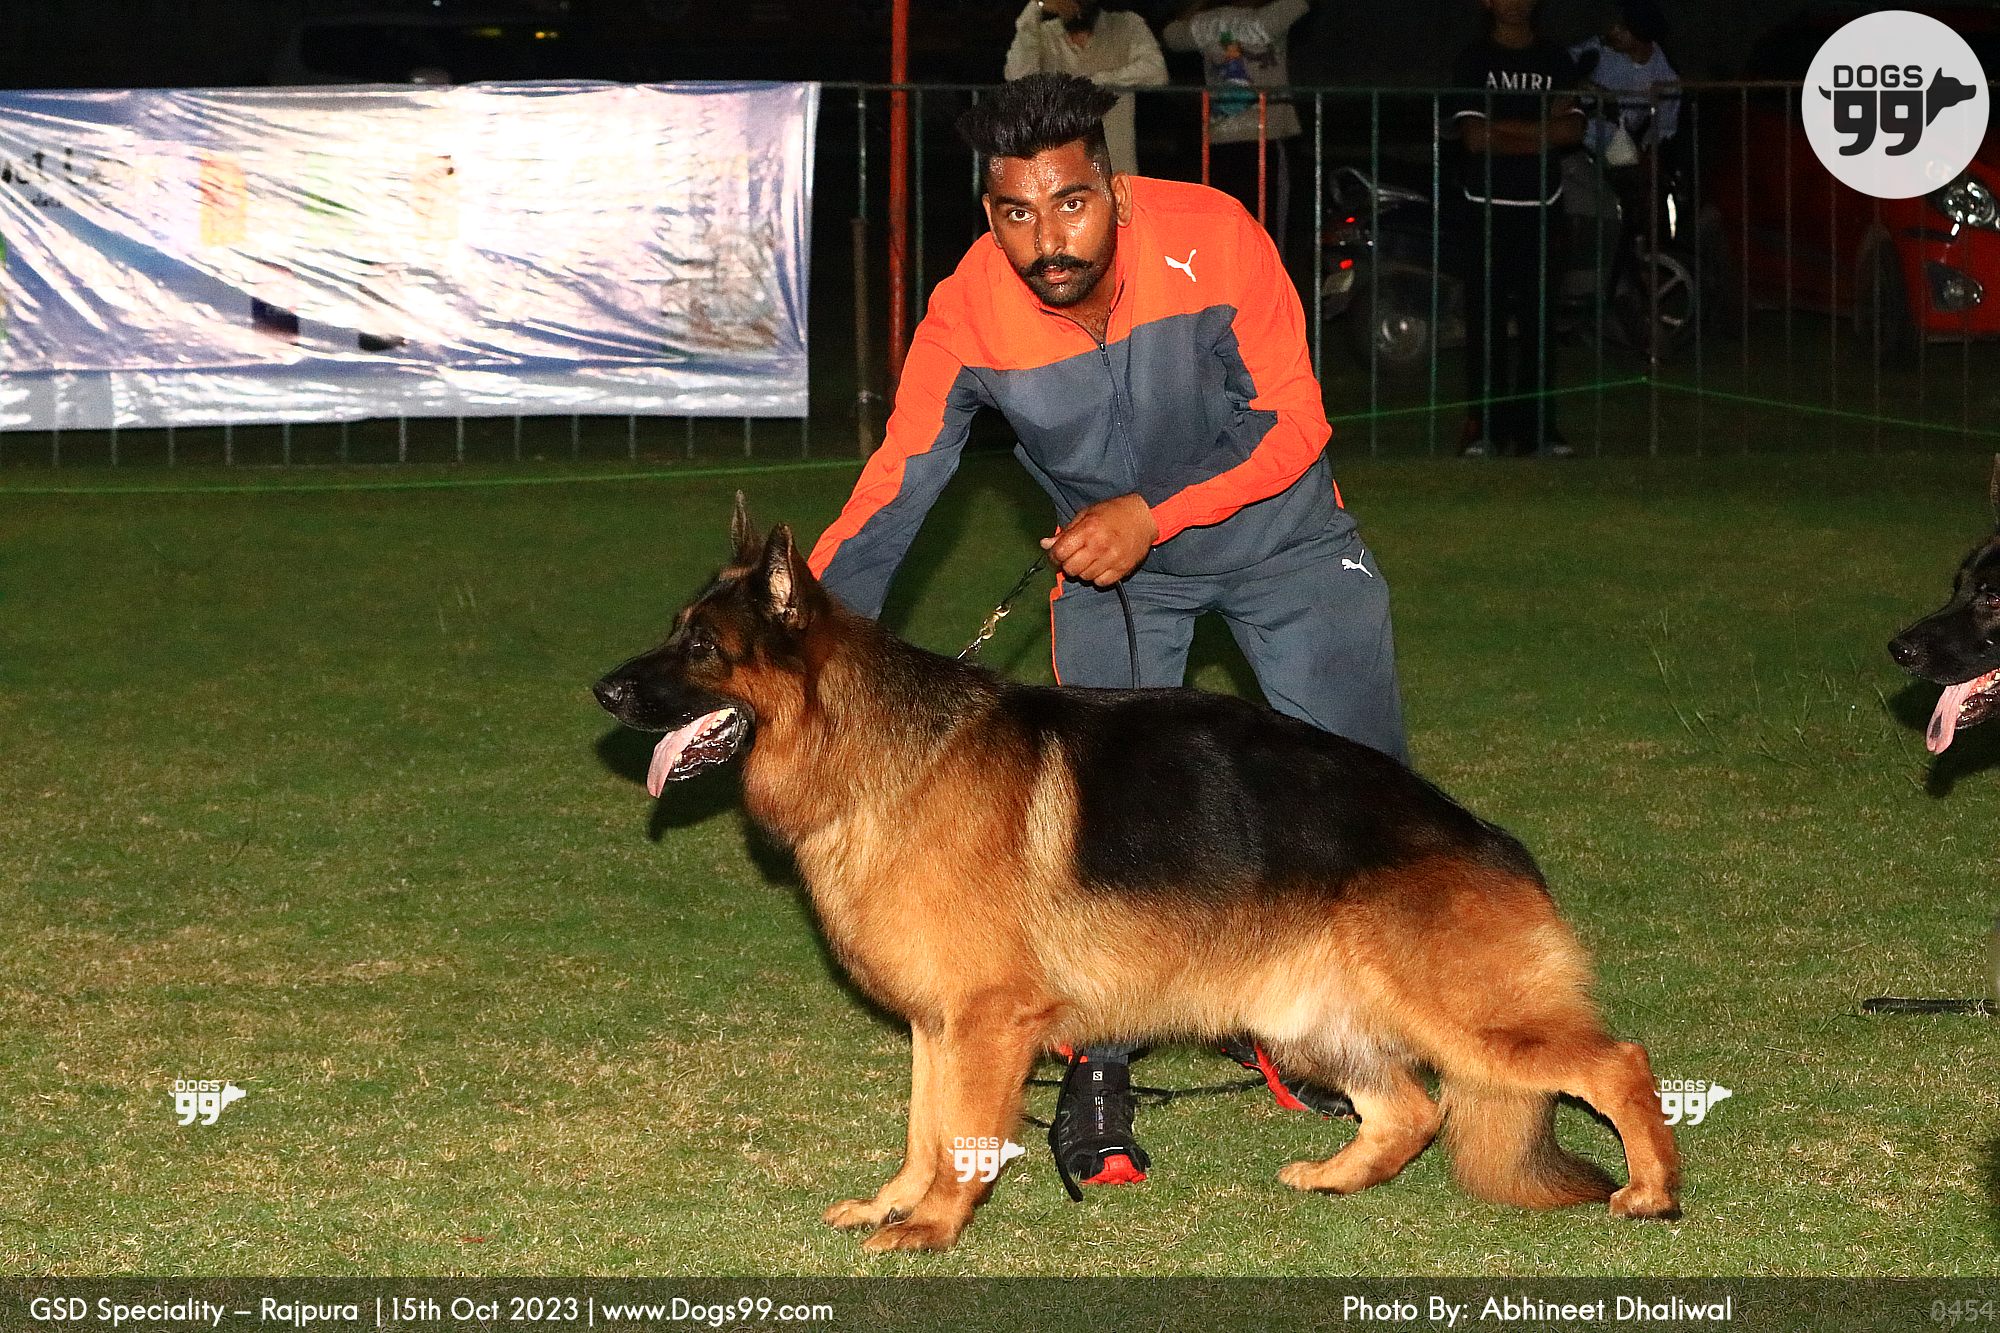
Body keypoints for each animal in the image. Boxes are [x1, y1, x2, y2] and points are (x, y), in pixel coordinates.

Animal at [593, 497, 1682, 1253]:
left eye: (701, 643)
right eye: (676, 626)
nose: (600, 689)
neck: (874, 750)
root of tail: (1483, 836)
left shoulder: (987, 1022)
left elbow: (959, 1135)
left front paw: (936, 1224)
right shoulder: (938, 1025)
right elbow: (922, 1128)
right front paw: (898, 1203)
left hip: (1460, 1015)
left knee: (1615, 1061)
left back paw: (1651, 1188)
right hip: (1306, 1019)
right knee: (1414, 1108)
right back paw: (1339, 1177)